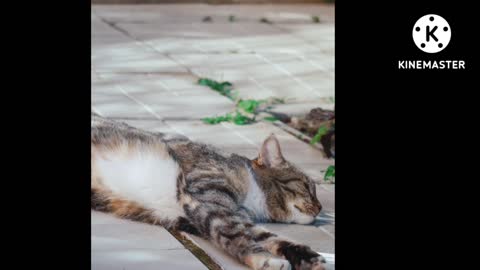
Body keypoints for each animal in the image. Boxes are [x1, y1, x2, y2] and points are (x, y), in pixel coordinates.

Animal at [90, 113, 326, 268]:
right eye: (307, 186)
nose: (320, 207)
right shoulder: (211, 206)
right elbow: (236, 238)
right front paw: (263, 259)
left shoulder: (215, 217)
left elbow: (269, 237)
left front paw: (305, 256)